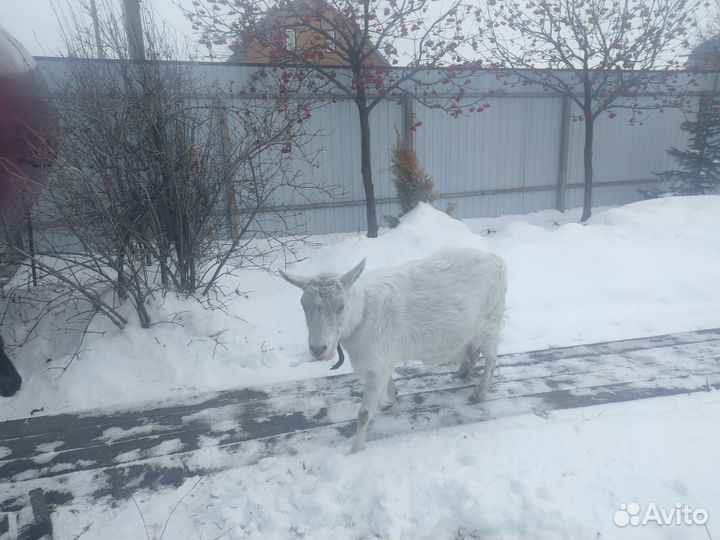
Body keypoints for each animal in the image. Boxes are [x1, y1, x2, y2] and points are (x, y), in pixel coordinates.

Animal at [281, 247, 507, 453]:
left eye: (341, 306)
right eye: (304, 306)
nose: (318, 349)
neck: (362, 314)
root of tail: (496, 260)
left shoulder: (375, 362)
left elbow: (363, 413)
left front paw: (355, 450)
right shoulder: (384, 356)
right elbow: (387, 381)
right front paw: (389, 399)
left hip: (491, 321)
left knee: (491, 358)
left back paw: (480, 392)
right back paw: (464, 371)